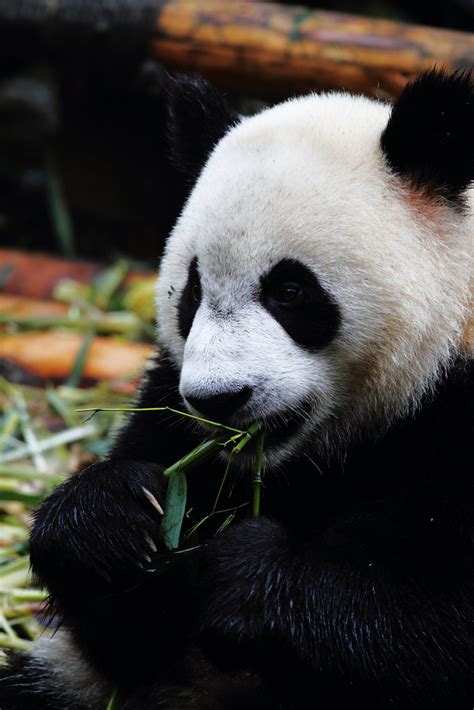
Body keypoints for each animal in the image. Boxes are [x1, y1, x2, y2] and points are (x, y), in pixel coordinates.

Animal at [0, 68, 472, 710]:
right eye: (192, 291)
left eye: (290, 291)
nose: (218, 400)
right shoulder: (169, 404)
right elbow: (125, 643)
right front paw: (114, 522)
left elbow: (433, 623)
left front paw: (250, 578)